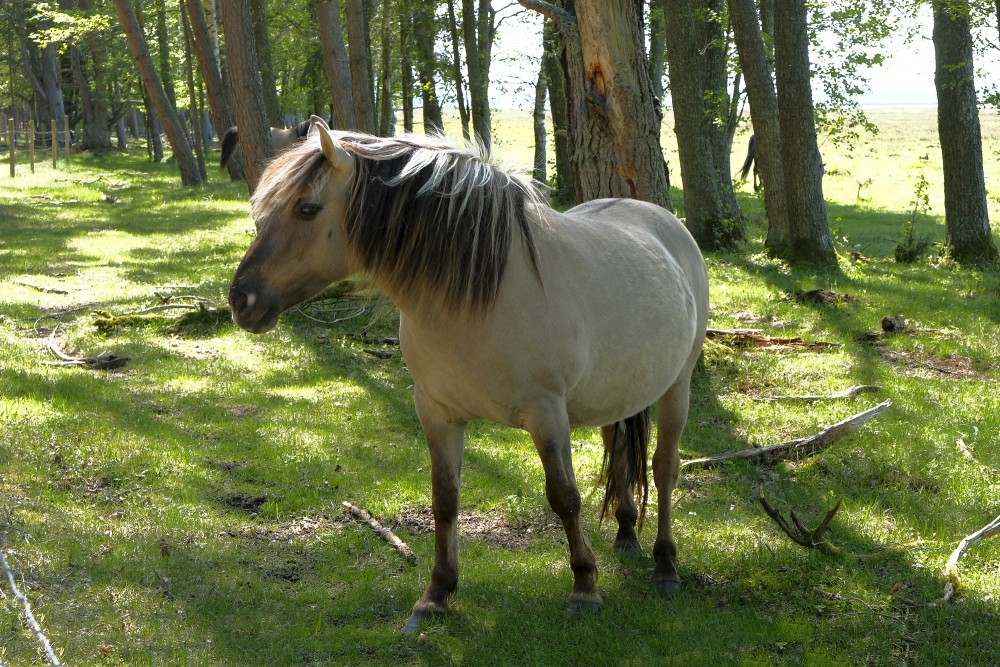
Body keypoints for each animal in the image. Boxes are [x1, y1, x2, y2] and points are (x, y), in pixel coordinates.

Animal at [227, 117, 712, 636]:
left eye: (307, 208)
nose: (242, 299)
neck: (479, 295)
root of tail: (666, 226)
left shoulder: (547, 414)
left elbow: (564, 496)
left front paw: (584, 586)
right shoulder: (436, 412)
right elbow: (445, 499)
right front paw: (436, 594)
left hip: (677, 386)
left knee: (664, 468)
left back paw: (665, 564)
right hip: (617, 394)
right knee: (620, 449)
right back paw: (624, 533)